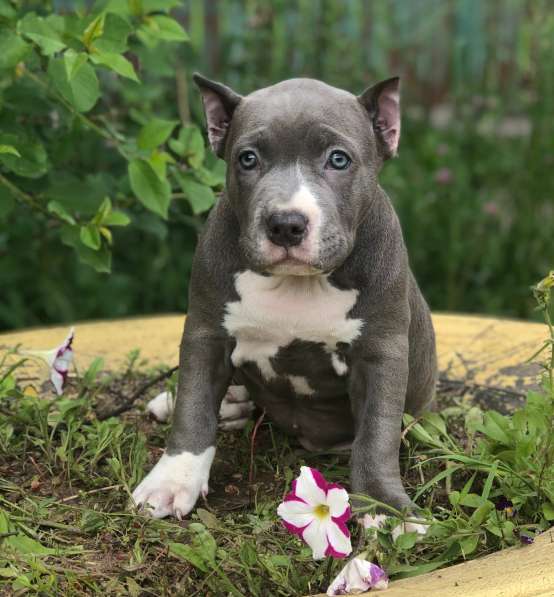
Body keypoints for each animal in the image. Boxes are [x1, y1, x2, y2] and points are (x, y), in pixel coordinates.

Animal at [133, 74, 436, 520]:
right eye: (247, 159)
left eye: (339, 160)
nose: (286, 224)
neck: (297, 284)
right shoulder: (207, 333)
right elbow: (193, 406)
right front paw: (172, 481)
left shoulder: (381, 353)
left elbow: (376, 436)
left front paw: (385, 508)